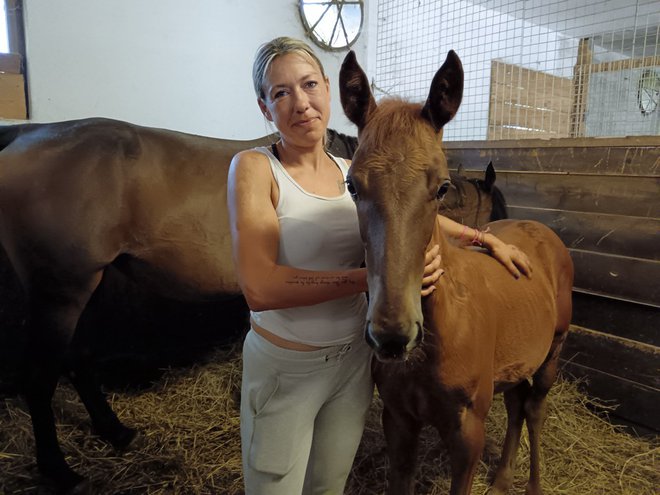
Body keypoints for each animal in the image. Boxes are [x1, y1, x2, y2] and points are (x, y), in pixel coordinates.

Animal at [340, 48, 572, 494]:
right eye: (351, 185)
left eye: (442, 187)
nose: (393, 335)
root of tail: (541, 232)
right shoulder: (398, 421)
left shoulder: (468, 433)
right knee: (516, 405)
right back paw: (501, 479)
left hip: (552, 354)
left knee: (535, 409)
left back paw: (532, 484)